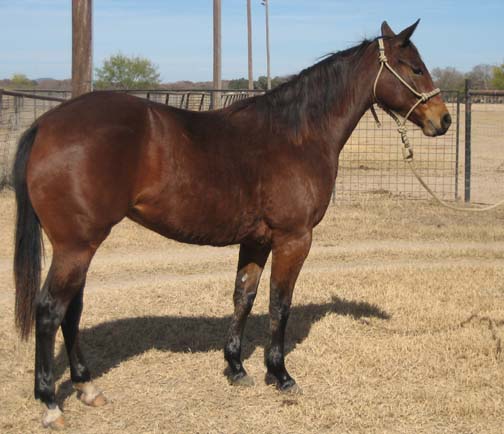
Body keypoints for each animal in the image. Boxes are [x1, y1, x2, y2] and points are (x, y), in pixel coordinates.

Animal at [13, 20, 450, 428]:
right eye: (414, 67)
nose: (443, 120)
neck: (297, 135)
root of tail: (47, 125)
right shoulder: (294, 239)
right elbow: (279, 303)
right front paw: (280, 374)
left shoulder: (256, 241)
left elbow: (244, 297)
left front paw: (236, 368)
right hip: (76, 247)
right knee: (50, 311)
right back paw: (51, 404)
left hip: (80, 247)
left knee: (72, 310)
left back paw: (87, 387)